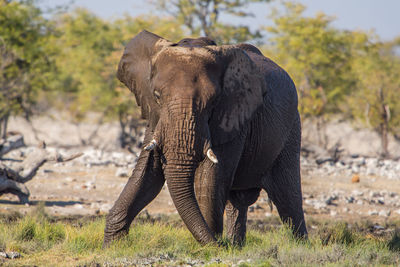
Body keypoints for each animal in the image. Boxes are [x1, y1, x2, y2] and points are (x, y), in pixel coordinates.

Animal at [102, 29, 306, 247]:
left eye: (213, 101)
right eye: (157, 96)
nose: (219, 244)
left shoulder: (233, 117)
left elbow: (210, 178)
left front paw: (210, 246)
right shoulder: (154, 116)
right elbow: (148, 174)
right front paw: (112, 246)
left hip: (292, 128)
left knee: (288, 198)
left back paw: (299, 245)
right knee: (239, 201)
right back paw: (236, 246)